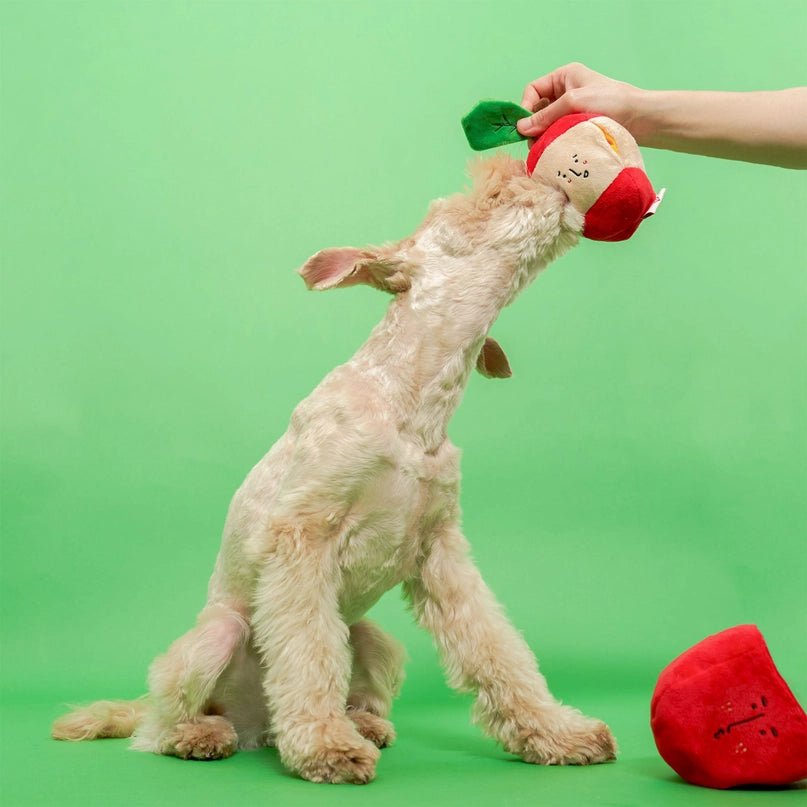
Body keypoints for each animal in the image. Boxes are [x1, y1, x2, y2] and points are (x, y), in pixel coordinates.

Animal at [52, 152, 620, 784]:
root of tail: (256, 727)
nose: (541, 175)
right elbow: (308, 654)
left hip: (372, 639)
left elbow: (497, 649)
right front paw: (325, 748)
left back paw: (361, 723)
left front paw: (557, 733)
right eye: (476, 200)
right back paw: (204, 734)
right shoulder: (303, 537)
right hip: (216, 638)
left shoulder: (441, 551)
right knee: (156, 727)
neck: (412, 409)